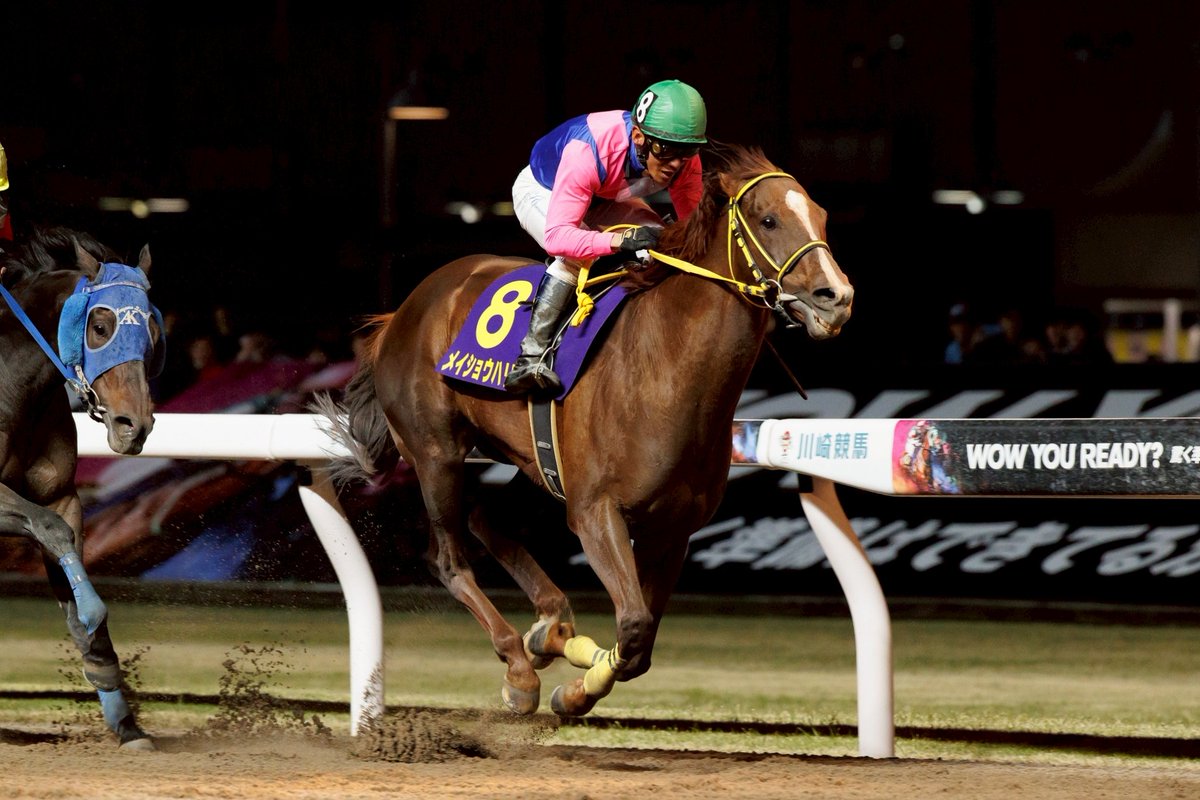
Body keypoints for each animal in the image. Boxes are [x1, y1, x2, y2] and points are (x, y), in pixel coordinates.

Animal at [0, 226, 163, 749]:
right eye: (100, 326)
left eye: (152, 331)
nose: (135, 426)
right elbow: (51, 528)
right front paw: (92, 612)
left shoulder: (61, 494)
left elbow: (61, 535)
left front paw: (126, 721)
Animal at [321, 142, 854, 718]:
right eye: (768, 219)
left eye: (822, 215)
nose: (836, 296)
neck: (666, 371)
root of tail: (403, 310)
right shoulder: (596, 512)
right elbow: (635, 626)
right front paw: (572, 685)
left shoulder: (674, 527)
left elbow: (640, 644)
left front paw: (574, 668)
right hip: (436, 452)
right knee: (450, 560)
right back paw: (519, 666)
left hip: (532, 459)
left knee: (489, 519)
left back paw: (550, 630)